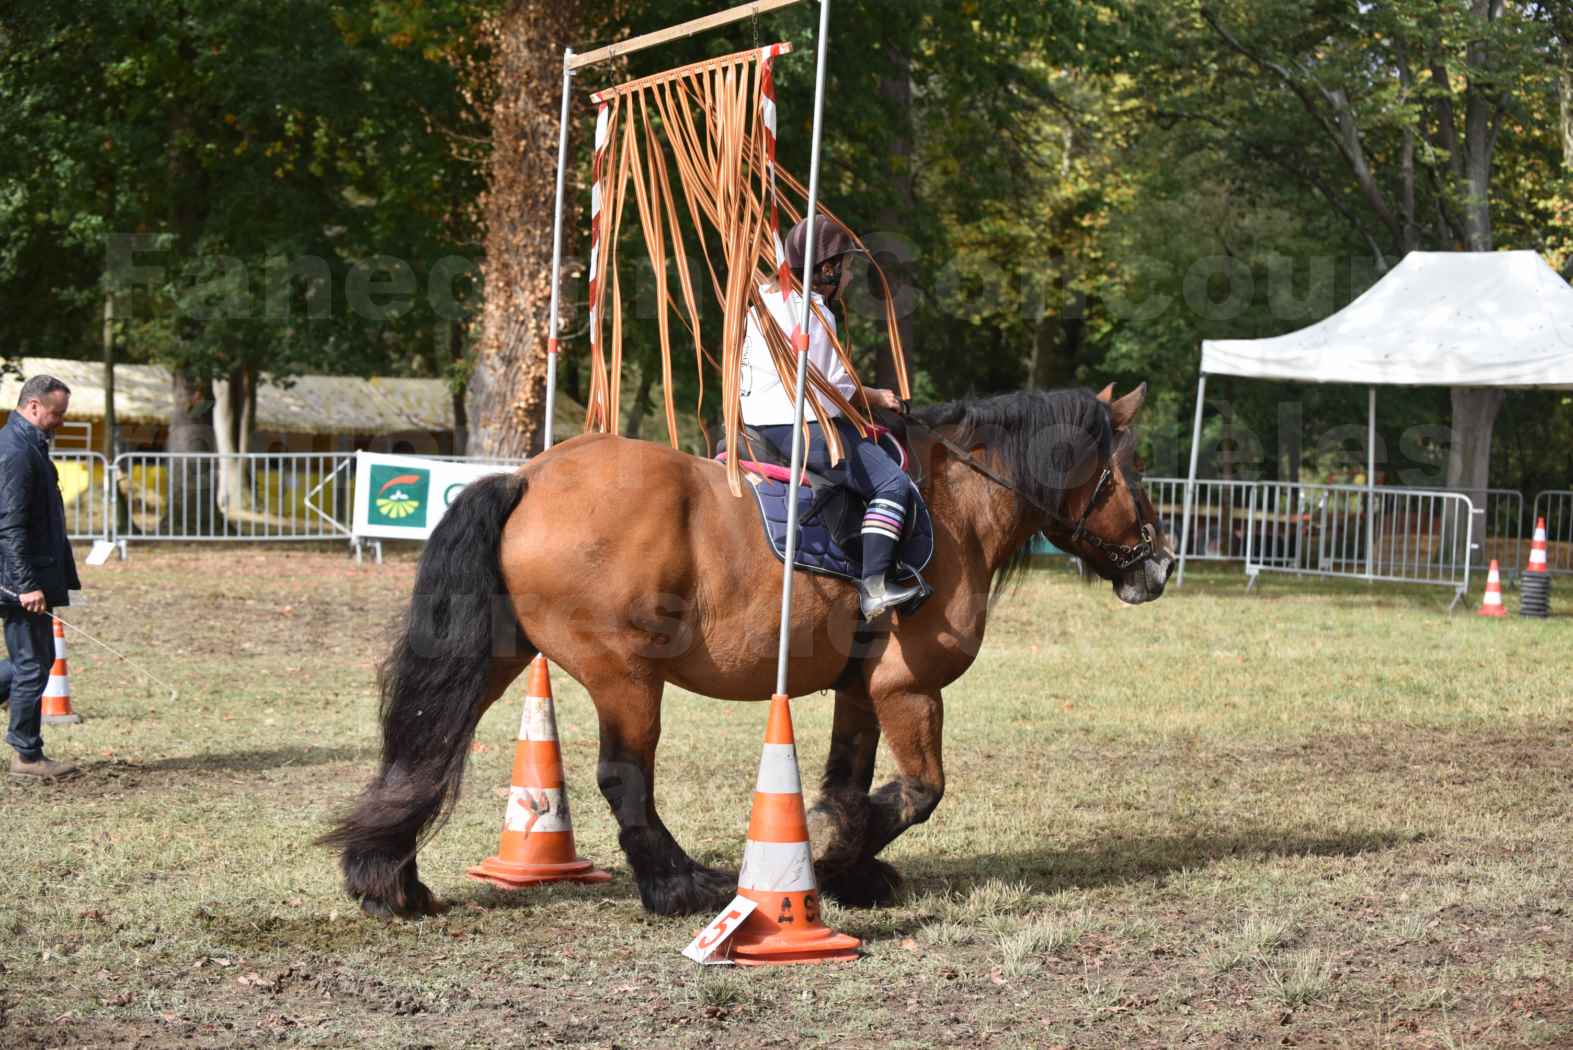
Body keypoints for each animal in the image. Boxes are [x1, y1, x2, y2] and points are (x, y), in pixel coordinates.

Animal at [321, 383, 1174, 918]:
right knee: (622, 777)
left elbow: (848, 782)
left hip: (500, 658)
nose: (1161, 565)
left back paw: (388, 882)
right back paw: (678, 888)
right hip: (624, 675)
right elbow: (918, 791)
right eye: (1131, 470)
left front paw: (848, 864)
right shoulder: (907, 687)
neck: (952, 504)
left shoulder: (860, 688)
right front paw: (831, 860)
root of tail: (530, 477)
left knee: (425, 749)